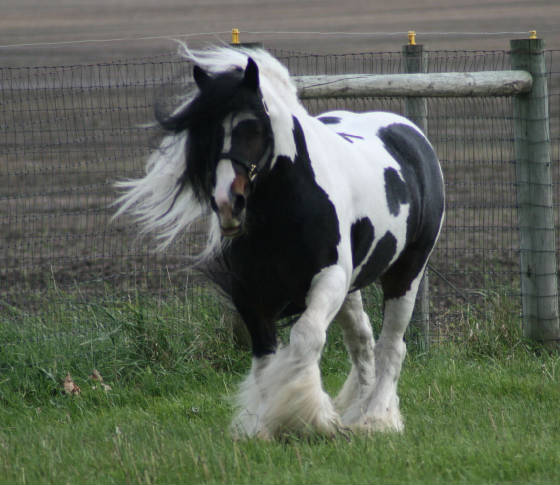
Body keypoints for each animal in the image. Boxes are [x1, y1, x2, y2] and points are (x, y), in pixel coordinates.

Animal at [115, 46, 446, 438]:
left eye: (255, 126)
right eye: (206, 131)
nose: (228, 204)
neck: (287, 209)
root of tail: (409, 132)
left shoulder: (329, 278)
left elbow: (305, 338)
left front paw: (305, 418)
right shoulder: (250, 292)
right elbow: (264, 357)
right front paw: (263, 426)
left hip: (406, 273)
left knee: (392, 346)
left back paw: (376, 419)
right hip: (352, 288)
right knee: (362, 342)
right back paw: (355, 412)